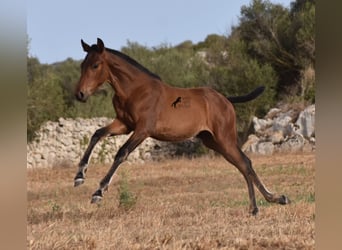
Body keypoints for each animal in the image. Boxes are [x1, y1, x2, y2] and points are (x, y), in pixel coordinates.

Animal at [74, 38, 288, 214]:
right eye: (82, 65)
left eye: (95, 65)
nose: (80, 94)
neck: (135, 90)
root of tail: (226, 100)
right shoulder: (124, 124)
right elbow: (97, 134)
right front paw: (79, 176)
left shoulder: (142, 130)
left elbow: (121, 153)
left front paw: (98, 192)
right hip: (213, 141)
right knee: (245, 163)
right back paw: (275, 199)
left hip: (224, 139)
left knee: (244, 163)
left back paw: (257, 207)